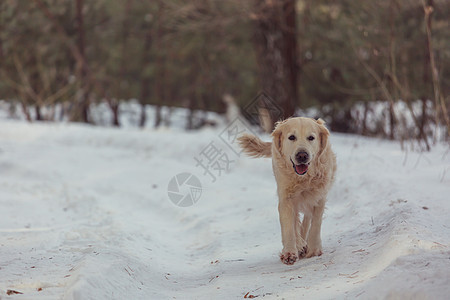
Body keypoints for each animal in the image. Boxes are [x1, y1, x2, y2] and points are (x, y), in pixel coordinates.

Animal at [237, 117, 336, 264]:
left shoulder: (319, 196)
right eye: (292, 137)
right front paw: (290, 252)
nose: (302, 155)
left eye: (311, 138)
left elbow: (316, 223)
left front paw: (314, 248)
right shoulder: (286, 199)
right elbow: (289, 226)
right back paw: (300, 245)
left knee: (307, 219)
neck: (303, 178)